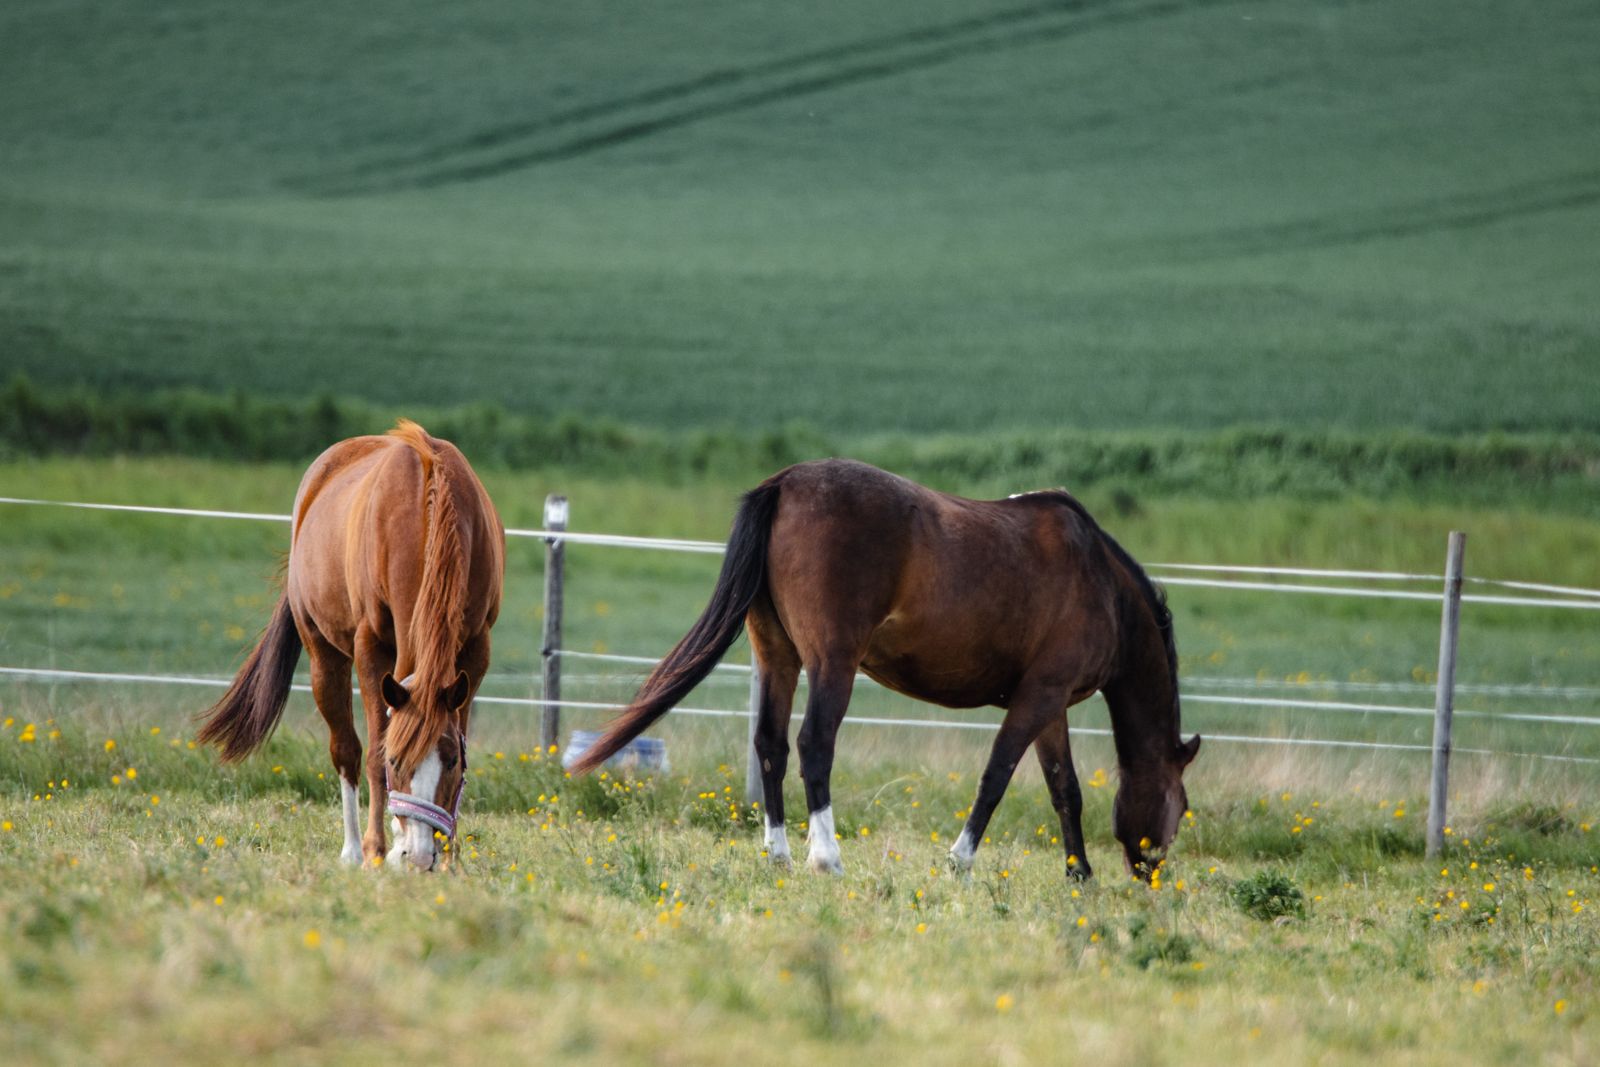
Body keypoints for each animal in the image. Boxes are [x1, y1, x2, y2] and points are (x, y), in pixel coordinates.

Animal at [197, 421, 505, 871]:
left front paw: (450, 856)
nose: (420, 856)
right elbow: (373, 751)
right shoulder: (370, 646)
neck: (426, 509)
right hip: (324, 657)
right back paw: (355, 850)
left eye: (449, 761)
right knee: (346, 749)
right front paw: (381, 848)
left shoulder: (476, 650)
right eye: (397, 762)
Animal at [572, 458, 1199, 881]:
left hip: (778, 655)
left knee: (771, 743)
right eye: (1182, 804)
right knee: (814, 743)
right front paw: (960, 861)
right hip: (833, 662)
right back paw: (826, 857)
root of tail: (787, 483)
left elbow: (1063, 787)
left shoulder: (1051, 705)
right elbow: (997, 775)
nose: (1149, 872)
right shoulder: (1041, 695)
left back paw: (778, 854)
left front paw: (1079, 875)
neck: (1101, 583)